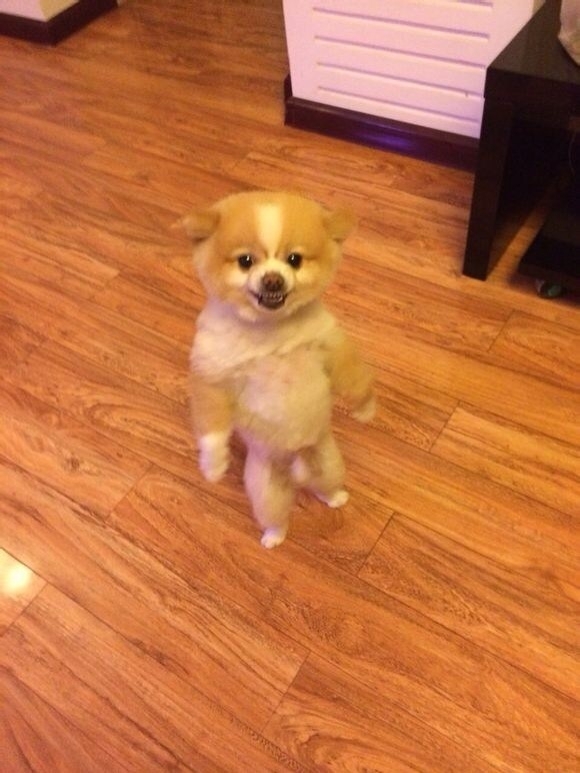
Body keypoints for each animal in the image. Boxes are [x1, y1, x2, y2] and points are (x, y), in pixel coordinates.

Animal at [182, 189, 376, 544]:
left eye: (294, 260)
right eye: (246, 261)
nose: (272, 279)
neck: (270, 331)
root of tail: (296, 460)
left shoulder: (328, 346)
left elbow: (354, 379)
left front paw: (366, 407)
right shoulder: (213, 372)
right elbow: (212, 423)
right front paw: (214, 463)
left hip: (328, 460)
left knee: (325, 484)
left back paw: (335, 497)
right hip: (266, 489)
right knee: (275, 515)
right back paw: (274, 536)